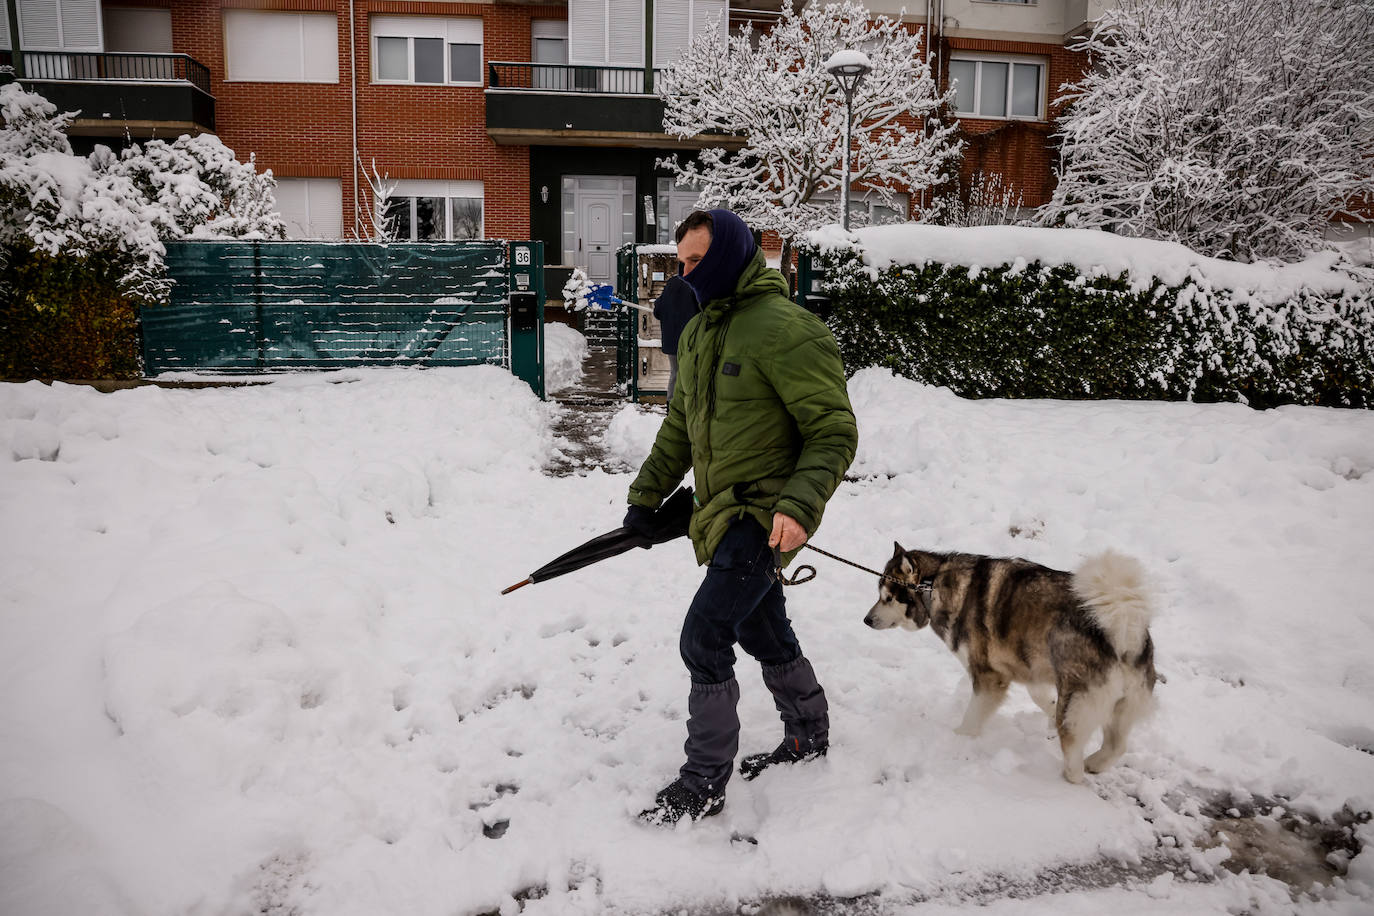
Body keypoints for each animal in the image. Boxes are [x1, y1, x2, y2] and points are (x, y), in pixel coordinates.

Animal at [862, 541, 1154, 785]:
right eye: (880, 596)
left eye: (887, 598)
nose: (866, 620)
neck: (932, 586)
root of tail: (1123, 633)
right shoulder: (1032, 664)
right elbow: (1041, 698)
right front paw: (1049, 717)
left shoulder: (989, 677)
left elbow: (972, 718)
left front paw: (958, 739)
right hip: (1120, 704)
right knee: (1116, 746)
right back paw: (1094, 762)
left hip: (1078, 703)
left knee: (1075, 760)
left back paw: (1070, 775)